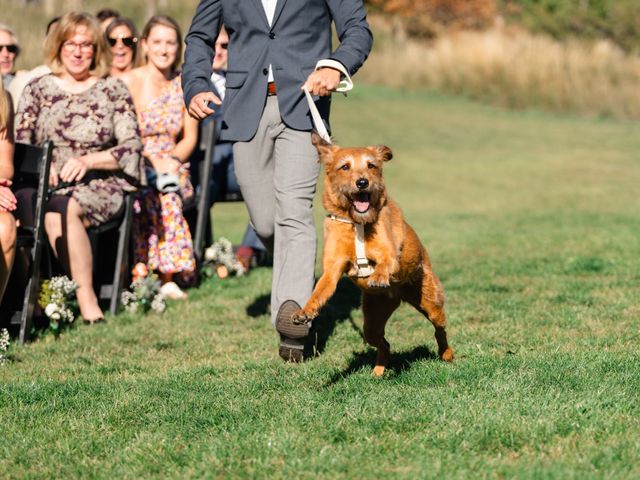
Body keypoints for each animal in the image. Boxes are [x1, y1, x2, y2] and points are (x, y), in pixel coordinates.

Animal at [292, 133, 452, 376]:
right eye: (345, 166)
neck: (357, 223)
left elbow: (386, 262)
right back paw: (378, 371)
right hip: (372, 321)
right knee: (384, 343)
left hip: (430, 300)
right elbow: (320, 290)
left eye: (371, 165)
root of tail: (398, 295)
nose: (362, 182)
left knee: (440, 328)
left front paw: (378, 276)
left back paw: (447, 355)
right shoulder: (332, 268)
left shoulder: (390, 254)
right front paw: (305, 311)